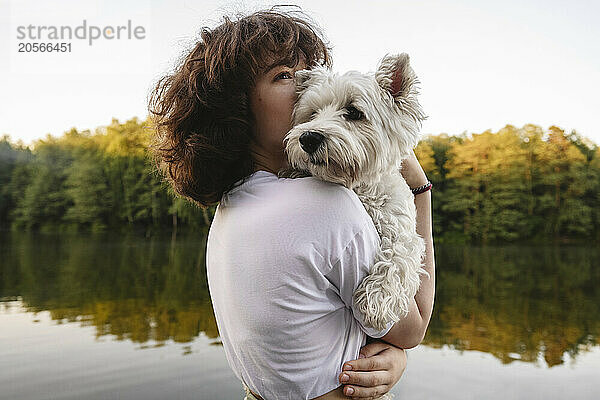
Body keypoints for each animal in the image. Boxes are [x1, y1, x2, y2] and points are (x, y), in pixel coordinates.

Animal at [280, 52, 426, 328]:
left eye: (354, 112)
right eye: (312, 114)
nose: (308, 138)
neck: (358, 187)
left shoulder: (403, 231)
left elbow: (398, 254)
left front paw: (377, 298)